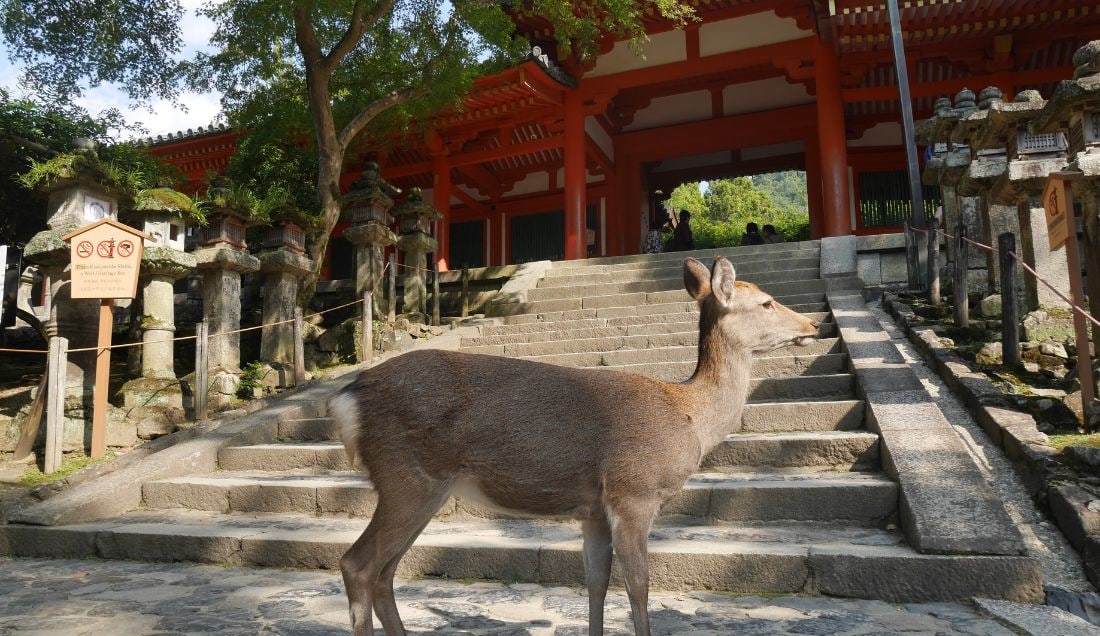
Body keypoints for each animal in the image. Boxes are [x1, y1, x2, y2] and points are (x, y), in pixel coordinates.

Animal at [328, 256, 820, 636]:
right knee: (358, 564)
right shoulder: (633, 491)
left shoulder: (594, 509)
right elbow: (639, 586)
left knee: (386, 571)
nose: (813, 324)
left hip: (422, 488)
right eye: (766, 301)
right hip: (406, 477)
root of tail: (346, 398)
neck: (690, 419)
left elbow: (596, 583)